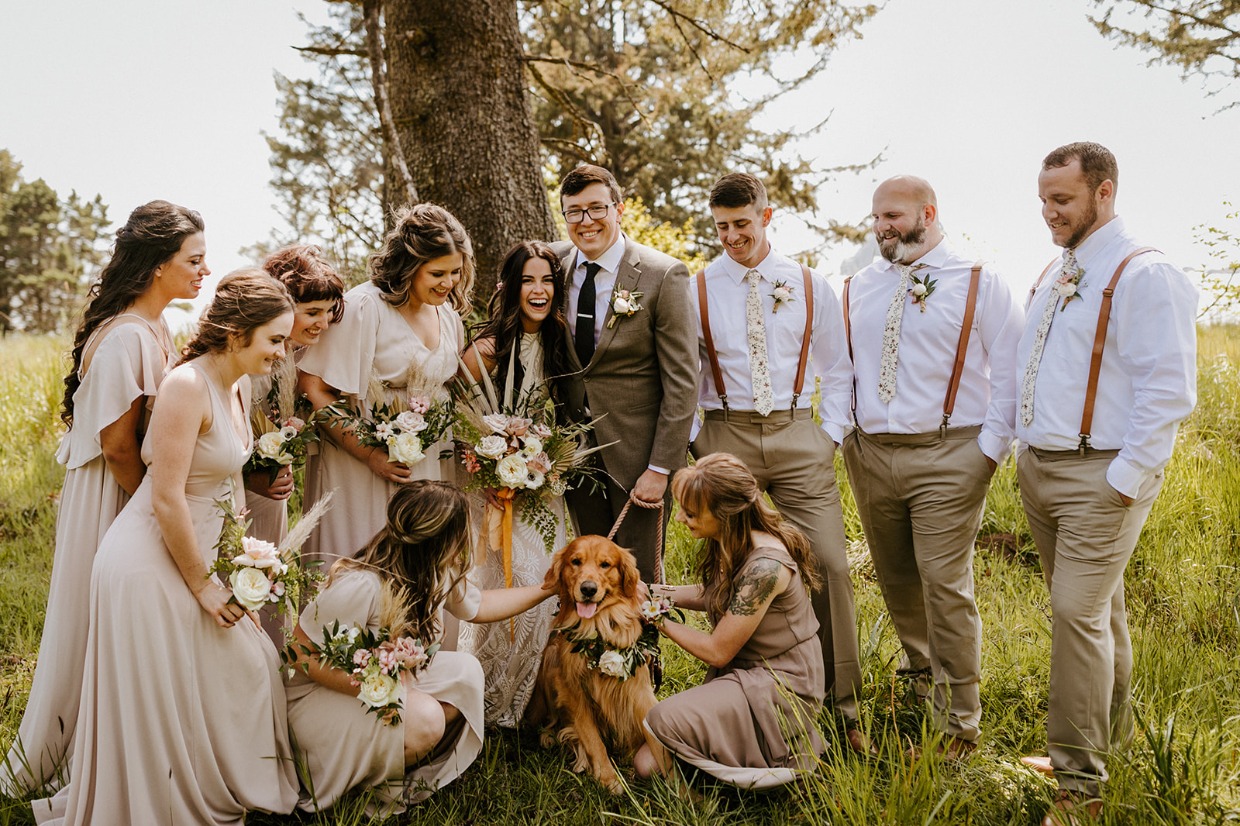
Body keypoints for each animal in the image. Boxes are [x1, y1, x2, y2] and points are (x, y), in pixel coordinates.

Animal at [525, 533, 669, 793]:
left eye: (605, 565)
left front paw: (684, 791)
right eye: (575, 562)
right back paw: (549, 735)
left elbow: (659, 744)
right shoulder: (572, 689)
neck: (598, 626)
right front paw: (608, 777)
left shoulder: (639, 689)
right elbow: (592, 737)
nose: (588, 589)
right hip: (550, 658)